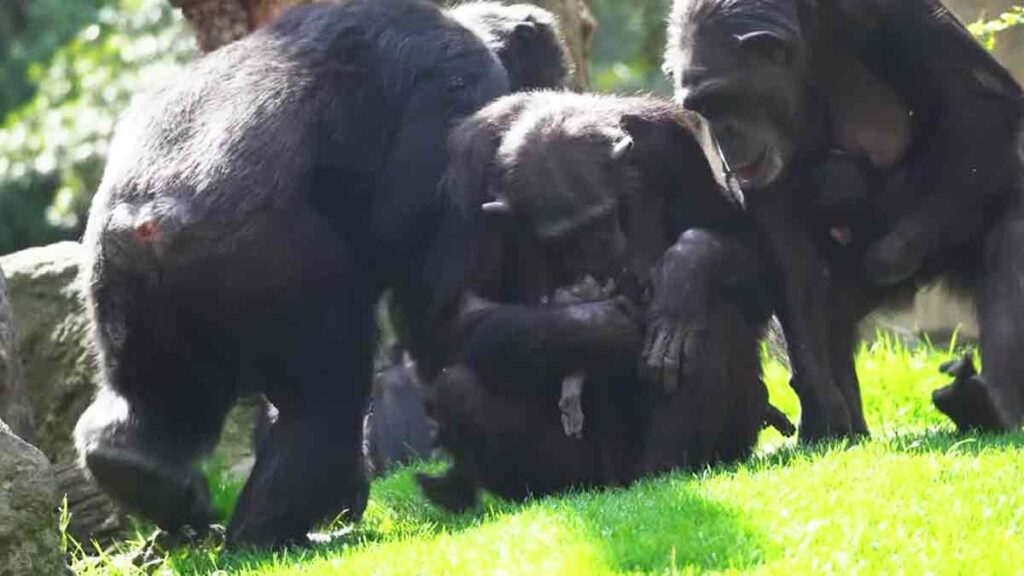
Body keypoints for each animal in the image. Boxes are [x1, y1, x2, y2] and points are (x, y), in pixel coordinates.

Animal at [411, 91, 786, 508]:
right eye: (563, 238)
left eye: (603, 217)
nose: (599, 248)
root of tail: (618, 481)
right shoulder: (467, 179)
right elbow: (451, 316)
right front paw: (604, 328)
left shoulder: (675, 147)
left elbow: (752, 260)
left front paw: (683, 271)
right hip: (582, 472)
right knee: (456, 387)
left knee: (714, 312)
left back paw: (667, 469)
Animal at [663, 0, 1024, 434]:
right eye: (701, 108)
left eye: (723, 98)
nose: (723, 134)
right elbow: (782, 236)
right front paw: (822, 401)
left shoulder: (889, 13)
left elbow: (975, 102)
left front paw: (887, 248)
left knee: (1009, 232)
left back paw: (991, 407)